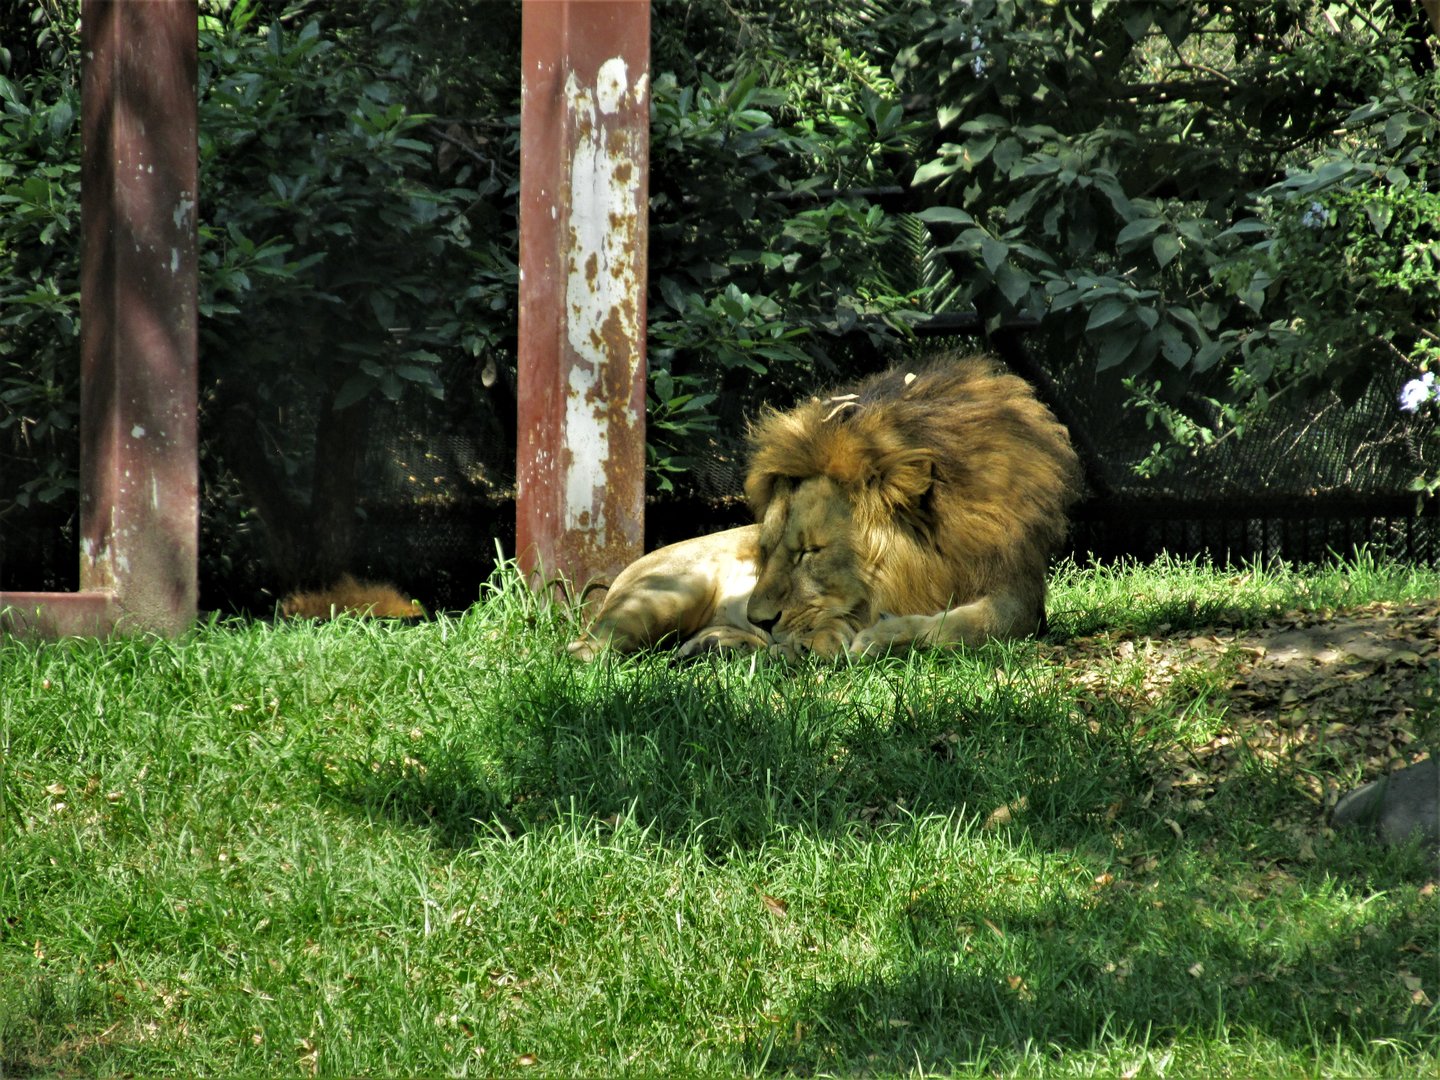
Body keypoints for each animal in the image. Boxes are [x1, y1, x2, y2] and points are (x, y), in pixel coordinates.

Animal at [568, 353, 1080, 659]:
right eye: (767, 551)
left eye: (808, 553)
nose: (759, 619)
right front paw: (845, 639)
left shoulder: (1019, 588)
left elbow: (983, 623)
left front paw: (889, 635)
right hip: (663, 595)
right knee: (583, 649)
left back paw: (722, 646)